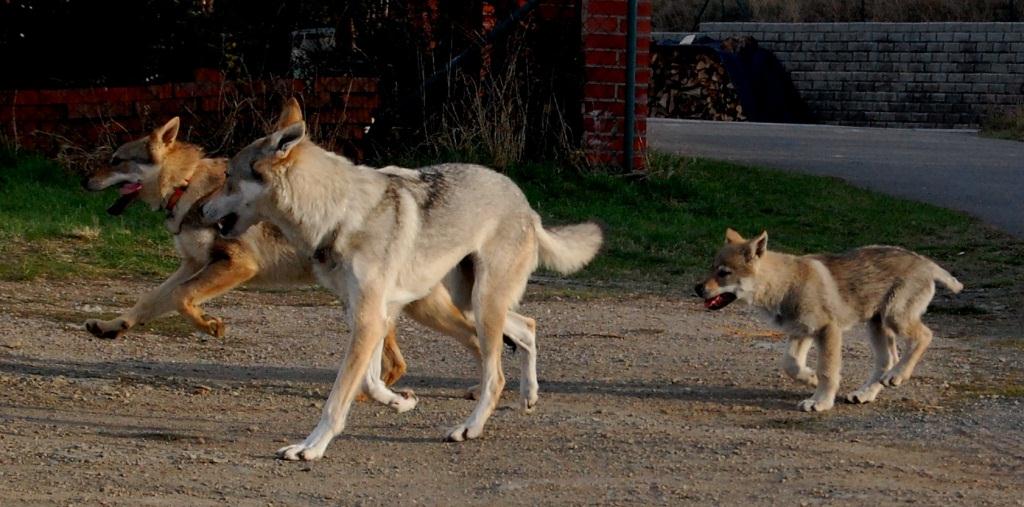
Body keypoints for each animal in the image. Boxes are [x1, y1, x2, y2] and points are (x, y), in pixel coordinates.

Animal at [199, 104, 598, 462]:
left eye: (228, 175)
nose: (199, 209)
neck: (338, 214)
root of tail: (525, 204)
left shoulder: (369, 319)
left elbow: (338, 398)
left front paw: (311, 448)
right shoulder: (370, 316)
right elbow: (371, 380)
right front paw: (398, 402)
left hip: (481, 305)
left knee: (496, 376)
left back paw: (469, 428)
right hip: (467, 302)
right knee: (527, 326)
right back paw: (529, 395)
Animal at [692, 229, 962, 413]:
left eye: (724, 273)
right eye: (711, 267)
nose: (696, 288)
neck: (785, 283)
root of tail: (927, 264)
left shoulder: (827, 331)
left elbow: (828, 370)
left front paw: (820, 401)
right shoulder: (800, 333)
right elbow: (790, 365)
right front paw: (810, 378)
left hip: (895, 317)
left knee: (924, 337)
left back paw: (898, 376)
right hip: (877, 325)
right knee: (887, 361)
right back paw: (865, 393)